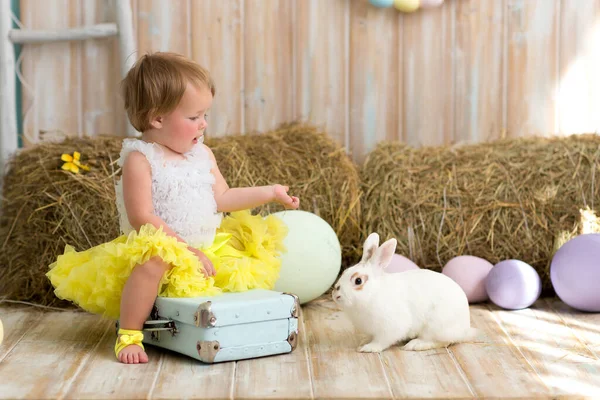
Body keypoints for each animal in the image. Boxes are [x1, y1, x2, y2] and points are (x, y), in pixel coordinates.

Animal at [332, 233, 478, 352]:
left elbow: (381, 341)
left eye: (358, 281)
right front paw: (364, 342)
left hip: (436, 326)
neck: (373, 294)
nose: (335, 293)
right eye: (345, 272)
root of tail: (465, 327)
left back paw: (415, 345)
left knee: (441, 341)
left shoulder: (391, 327)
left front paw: (368, 348)